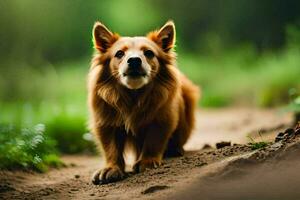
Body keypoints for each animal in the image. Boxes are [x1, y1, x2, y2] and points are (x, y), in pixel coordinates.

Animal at [87, 20, 199, 184]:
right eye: (119, 53)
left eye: (149, 53)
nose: (134, 60)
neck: (134, 96)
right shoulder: (106, 122)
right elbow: (111, 147)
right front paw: (111, 168)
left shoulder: (161, 119)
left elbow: (153, 140)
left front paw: (147, 161)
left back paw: (175, 149)